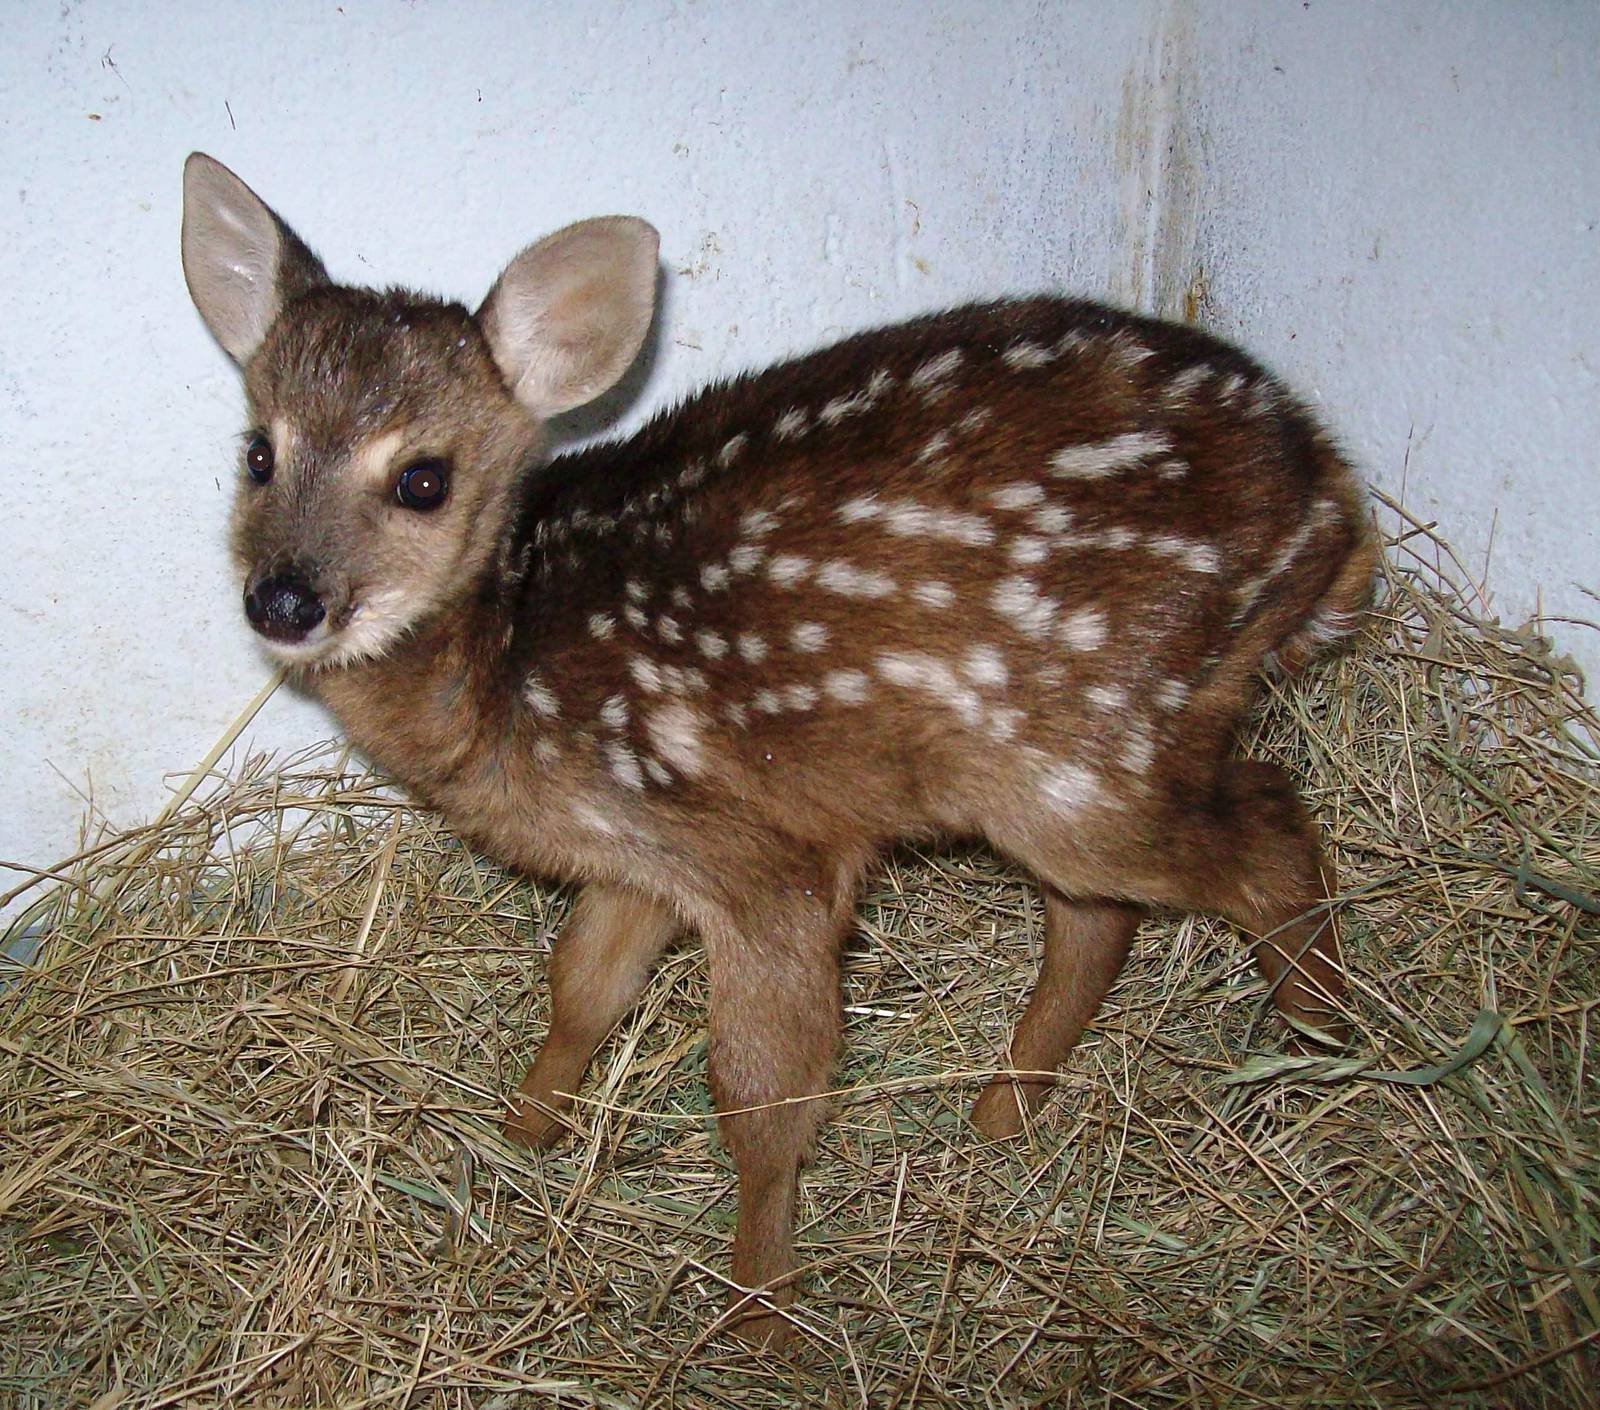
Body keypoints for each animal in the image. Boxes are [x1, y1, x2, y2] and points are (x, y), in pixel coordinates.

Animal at [180, 152, 1375, 1347]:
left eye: (422, 478)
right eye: (258, 452)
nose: (284, 598)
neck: (505, 662)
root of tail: (1330, 497)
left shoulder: (769, 860)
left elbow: (762, 1092)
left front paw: (756, 1313)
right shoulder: (648, 850)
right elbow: (582, 988)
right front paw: (522, 1136)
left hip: (1098, 742)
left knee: (1268, 831)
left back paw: (1327, 1054)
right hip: (1062, 765)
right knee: (1105, 915)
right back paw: (1001, 1111)